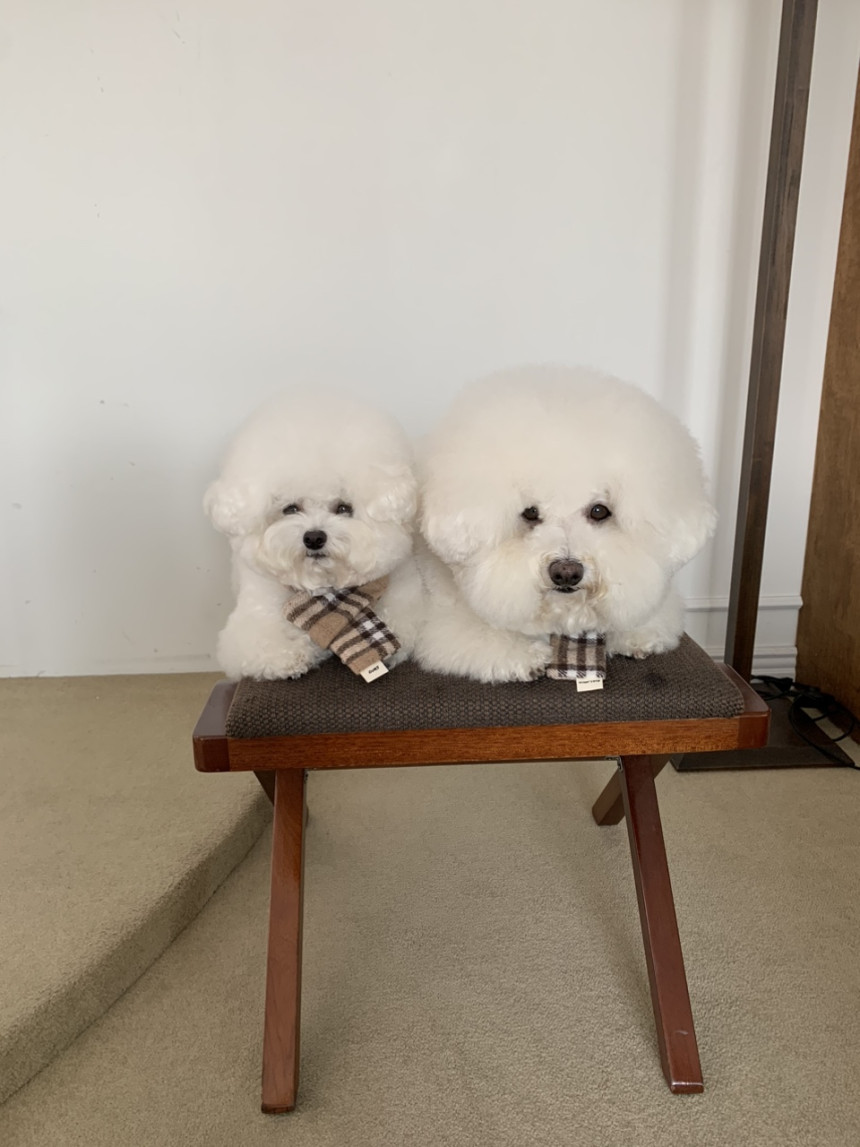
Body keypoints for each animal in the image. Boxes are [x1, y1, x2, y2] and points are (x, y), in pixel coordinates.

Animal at [205, 389, 422, 681]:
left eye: (343, 508)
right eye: (290, 509)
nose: (314, 538)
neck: (323, 591)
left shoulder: (405, 595)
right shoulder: (254, 617)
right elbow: (264, 645)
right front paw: (291, 656)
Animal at [415, 365, 717, 683]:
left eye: (599, 510)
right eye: (530, 513)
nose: (566, 572)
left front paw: (636, 637)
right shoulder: (447, 621)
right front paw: (526, 656)